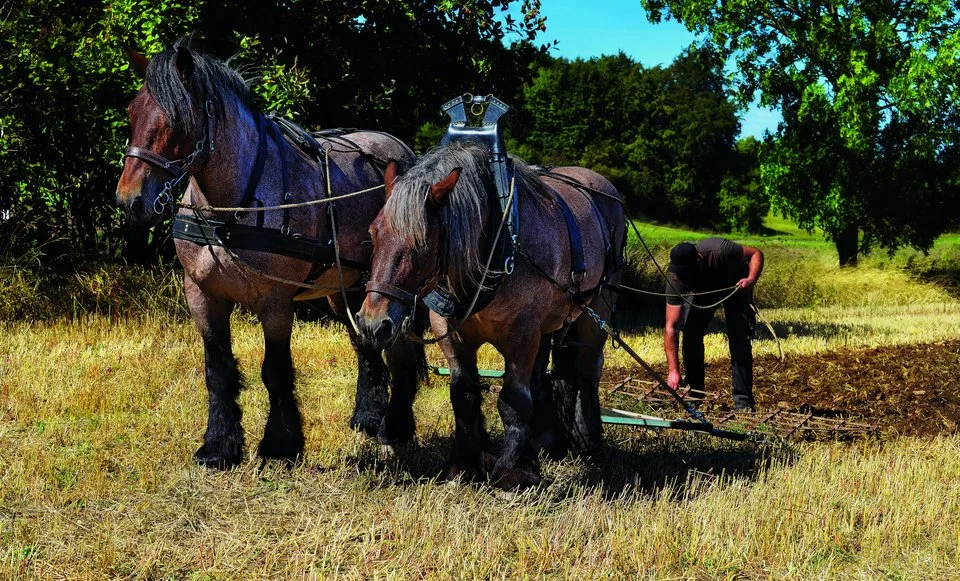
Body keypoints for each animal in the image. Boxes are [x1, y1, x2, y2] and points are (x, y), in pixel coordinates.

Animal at [114, 40, 421, 468]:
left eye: (177, 120)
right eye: (132, 112)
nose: (130, 201)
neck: (230, 207)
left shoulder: (275, 302)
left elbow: (275, 370)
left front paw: (280, 444)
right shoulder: (201, 295)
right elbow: (218, 369)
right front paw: (219, 446)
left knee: (402, 350)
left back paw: (397, 426)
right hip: (346, 288)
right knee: (366, 342)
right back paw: (368, 415)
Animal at [356, 140, 626, 488]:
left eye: (422, 242)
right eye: (374, 233)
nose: (373, 324)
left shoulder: (522, 333)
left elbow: (514, 399)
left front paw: (512, 471)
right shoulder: (452, 332)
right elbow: (463, 394)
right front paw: (465, 464)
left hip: (597, 311)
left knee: (587, 371)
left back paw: (591, 440)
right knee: (545, 375)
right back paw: (546, 440)